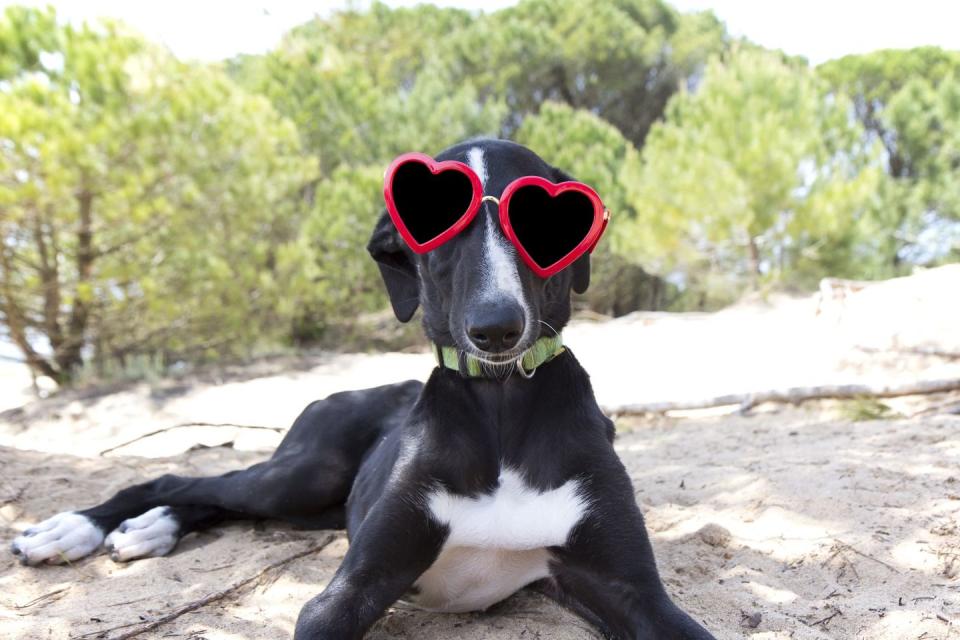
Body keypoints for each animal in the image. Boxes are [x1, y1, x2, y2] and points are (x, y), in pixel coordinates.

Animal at [11, 140, 716, 640]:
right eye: (434, 228)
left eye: (541, 223)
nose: (495, 328)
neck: (500, 405)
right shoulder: (350, 590)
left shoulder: (633, 593)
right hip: (305, 473)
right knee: (183, 479)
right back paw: (75, 529)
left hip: (314, 502)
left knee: (214, 499)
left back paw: (150, 528)